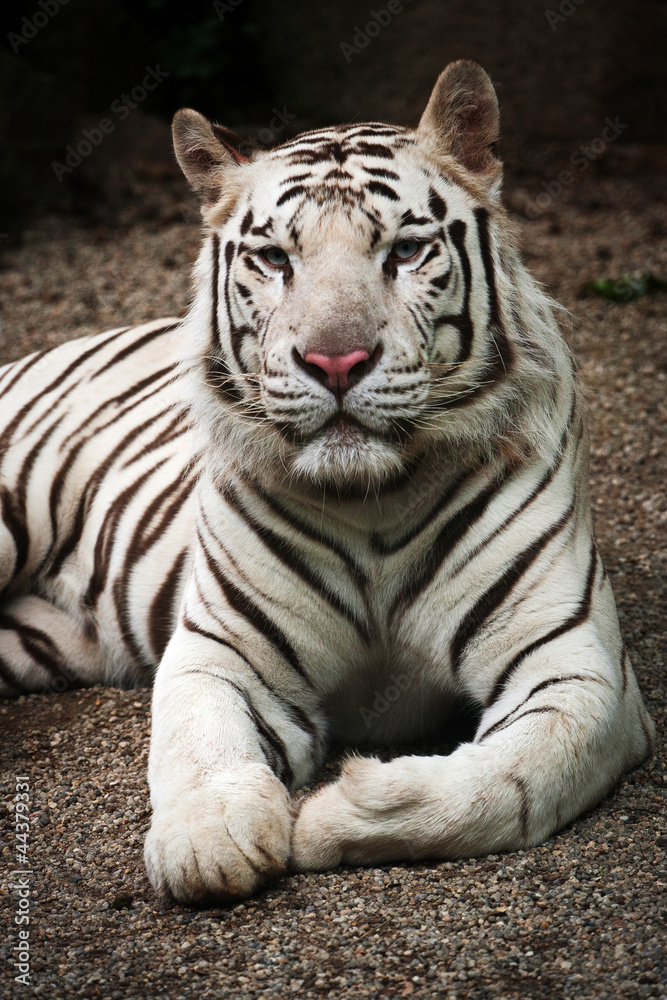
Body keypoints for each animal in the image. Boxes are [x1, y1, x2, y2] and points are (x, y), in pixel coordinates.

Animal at [0, 60, 654, 905]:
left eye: (404, 251)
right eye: (276, 259)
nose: (334, 361)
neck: (372, 501)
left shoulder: (574, 666)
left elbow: (506, 781)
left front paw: (330, 817)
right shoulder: (224, 650)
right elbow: (195, 746)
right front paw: (209, 841)